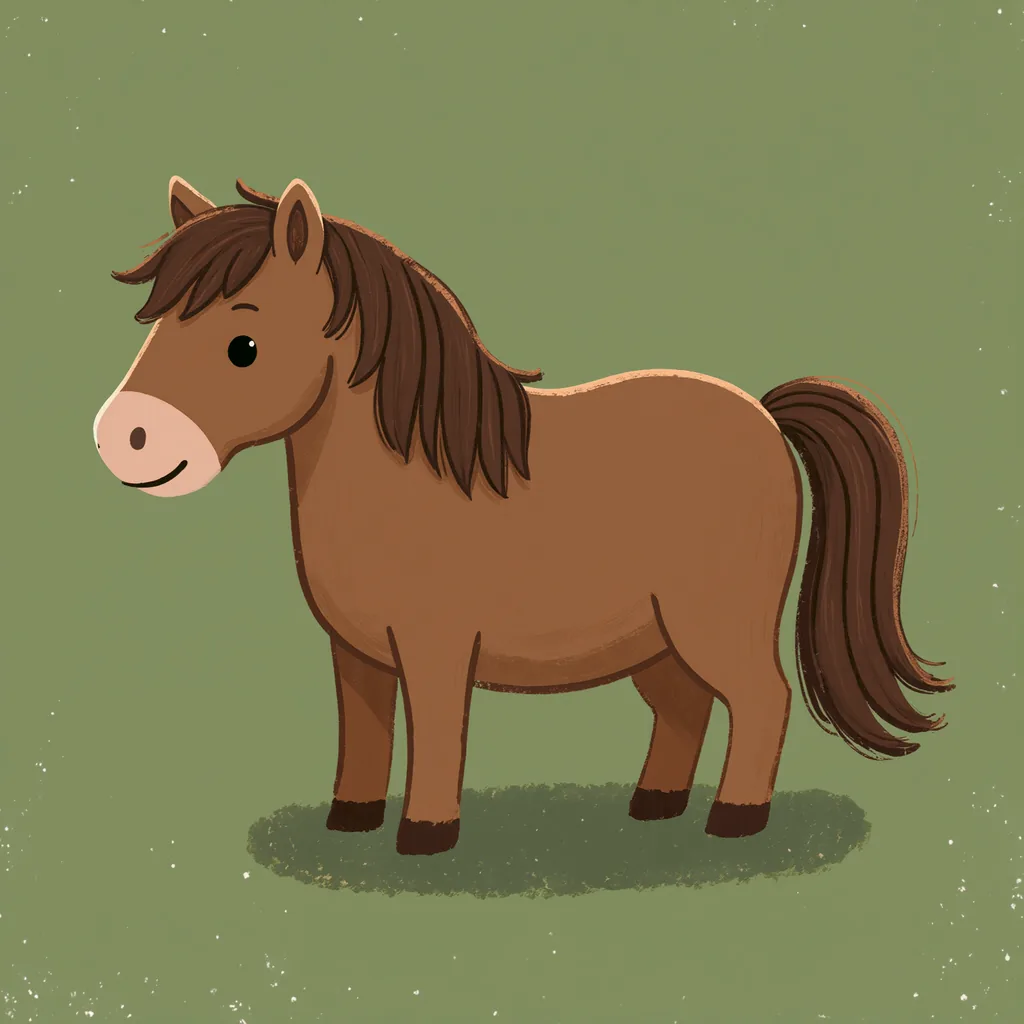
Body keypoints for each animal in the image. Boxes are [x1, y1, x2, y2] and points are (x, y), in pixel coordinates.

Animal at [93, 176, 953, 856]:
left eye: (243, 345)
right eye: (159, 325)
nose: (124, 438)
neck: (403, 477)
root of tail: (769, 418)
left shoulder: (436, 648)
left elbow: (437, 734)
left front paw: (425, 836)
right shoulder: (356, 654)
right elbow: (364, 738)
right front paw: (351, 822)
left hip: (716, 624)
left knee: (762, 701)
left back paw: (735, 820)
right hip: (657, 640)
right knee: (688, 708)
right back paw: (654, 806)